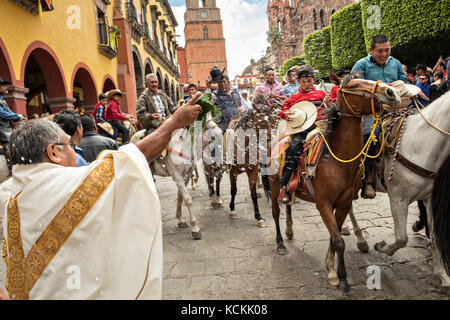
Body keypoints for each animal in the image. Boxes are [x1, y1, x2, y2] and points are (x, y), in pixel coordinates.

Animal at [264, 75, 400, 292]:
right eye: (354, 85)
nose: (391, 92)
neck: (337, 161)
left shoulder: (344, 204)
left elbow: (334, 236)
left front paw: (330, 269)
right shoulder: (324, 205)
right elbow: (339, 241)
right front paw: (342, 279)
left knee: (288, 205)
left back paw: (289, 230)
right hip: (274, 184)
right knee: (276, 213)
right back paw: (280, 244)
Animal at [352, 91, 450, 286]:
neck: (423, 144)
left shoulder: (429, 199)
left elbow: (435, 238)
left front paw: (442, 275)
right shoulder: (398, 199)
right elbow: (401, 239)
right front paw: (381, 247)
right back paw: (360, 239)